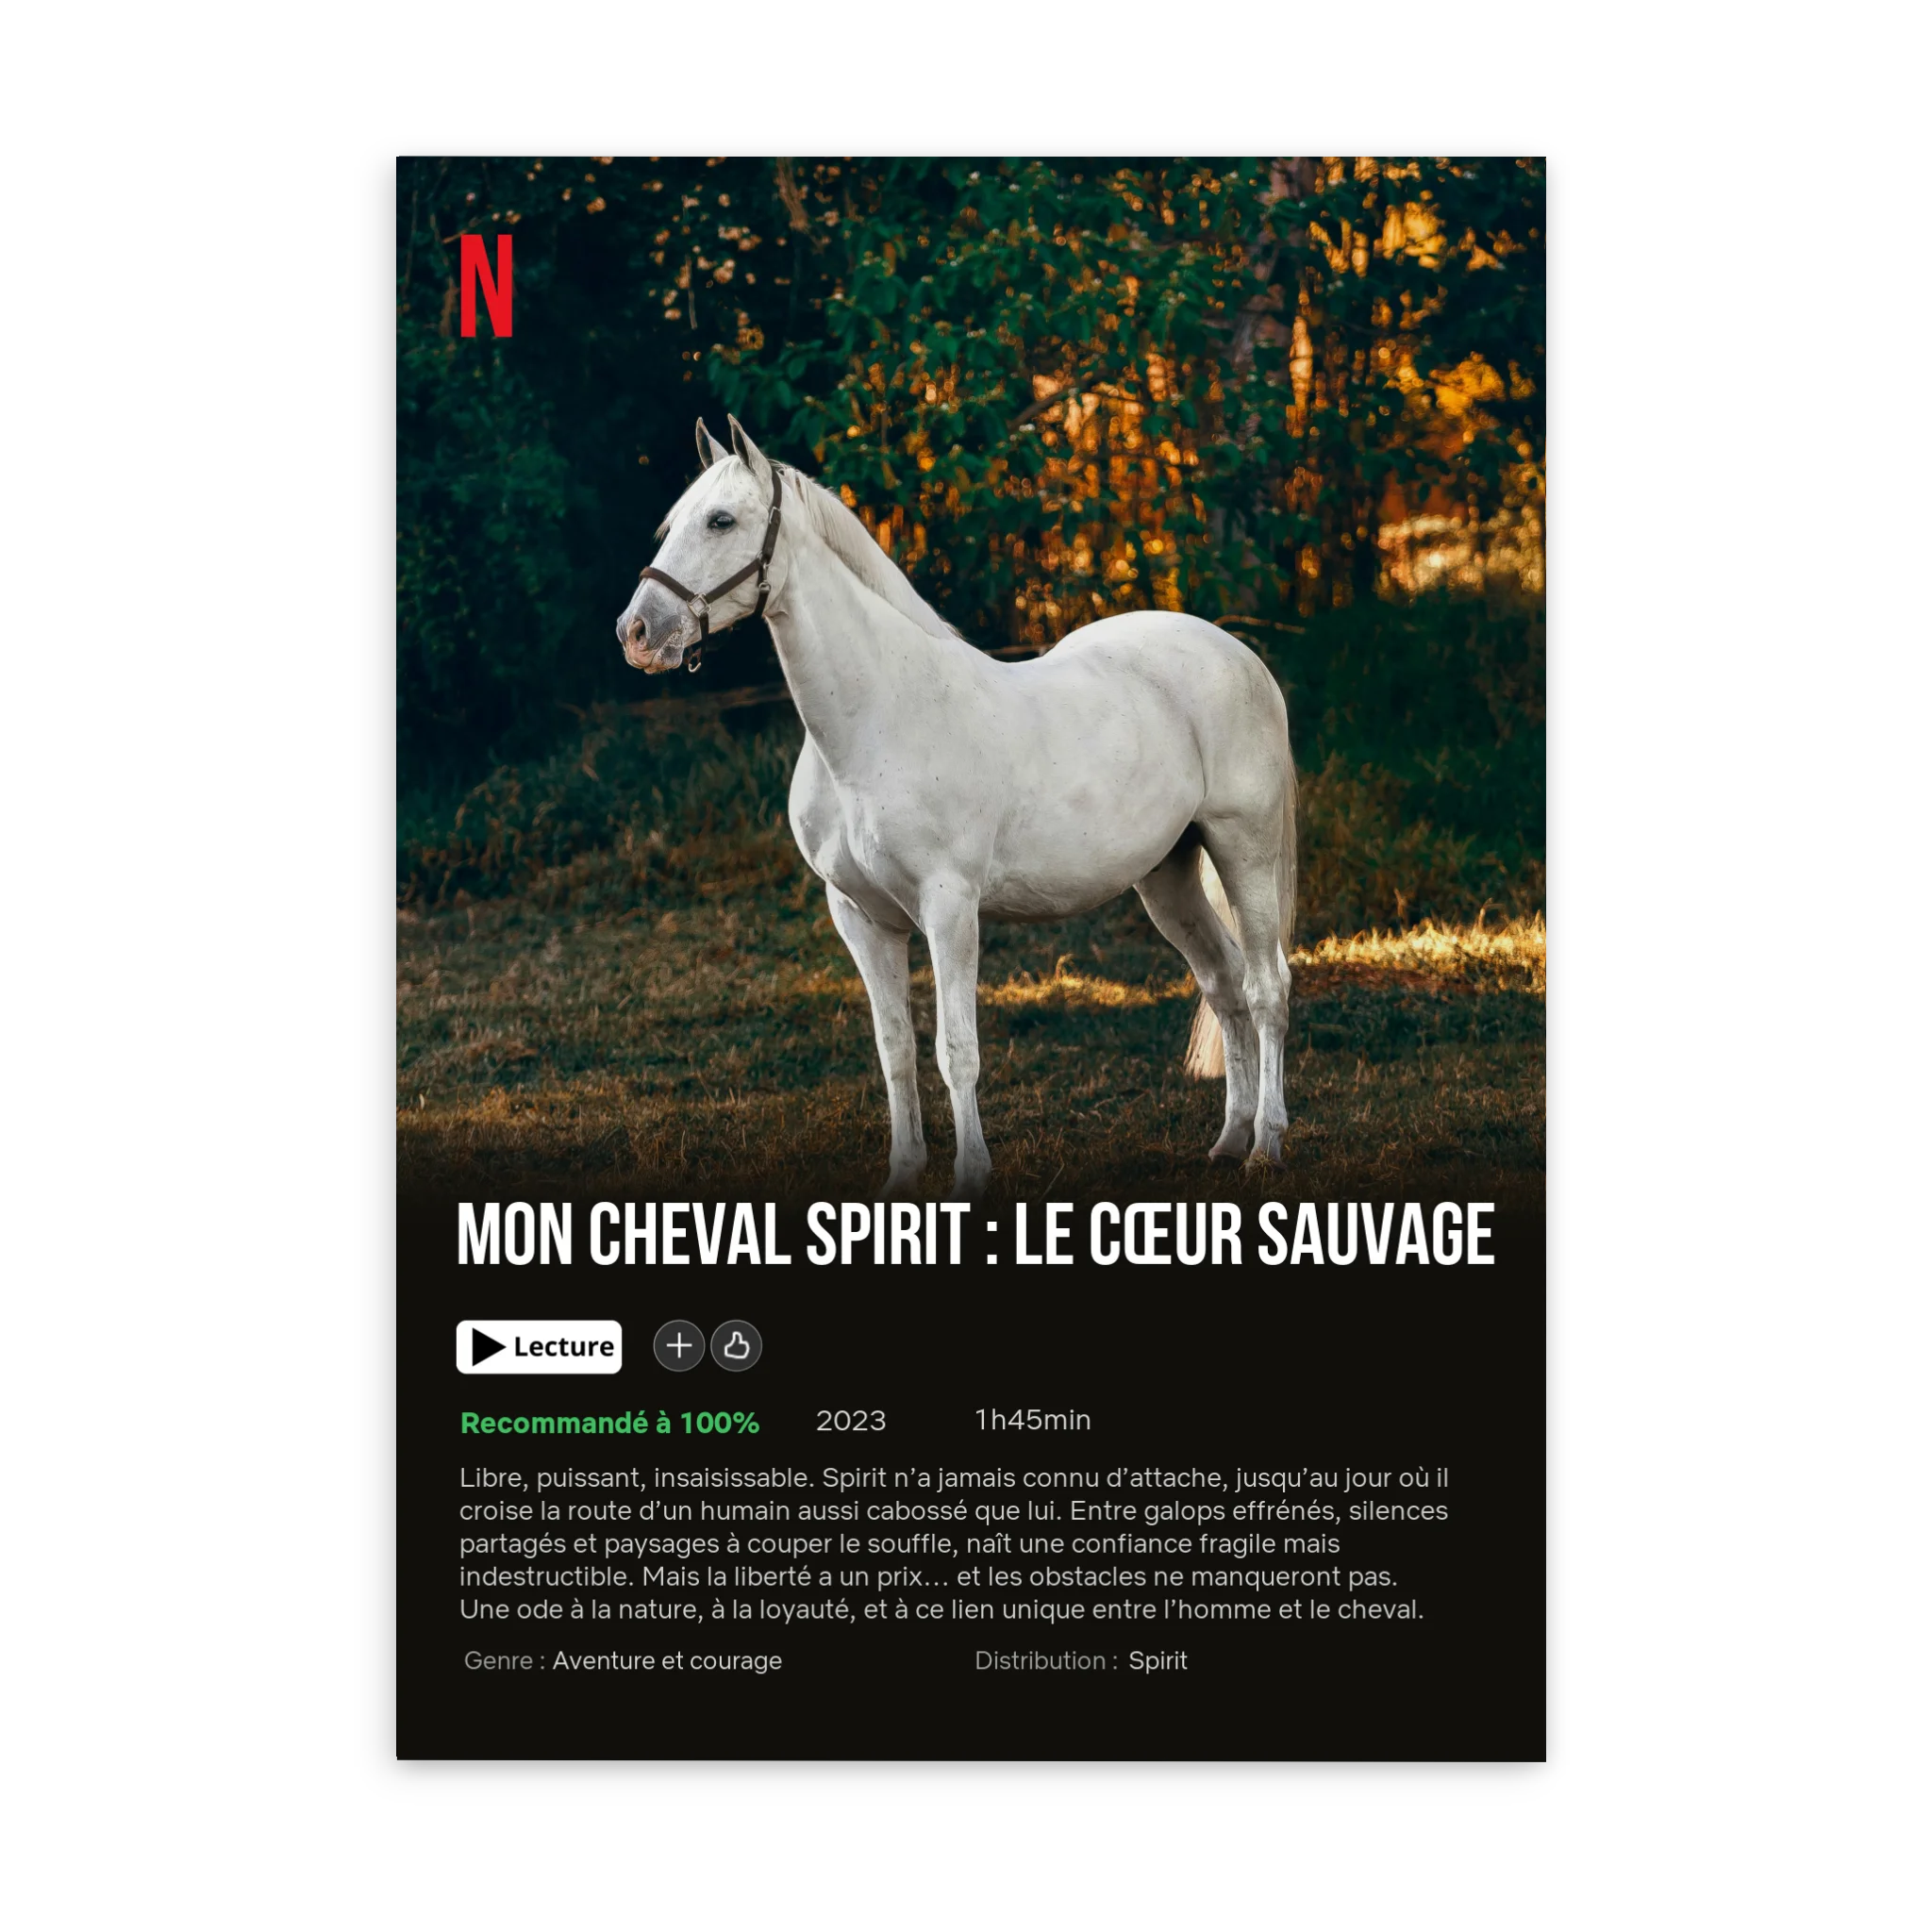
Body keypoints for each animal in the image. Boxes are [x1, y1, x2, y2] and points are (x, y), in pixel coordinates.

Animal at [616, 416, 1297, 1200]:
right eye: (671, 524)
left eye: (721, 520)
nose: (636, 633)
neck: (876, 719)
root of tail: (1240, 656)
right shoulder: (860, 917)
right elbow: (894, 1050)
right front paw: (902, 1175)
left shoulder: (948, 907)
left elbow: (956, 1050)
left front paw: (970, 1178)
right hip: (1168, 876)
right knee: (1223, 985)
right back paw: (1227, 1140)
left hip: (1243, 852)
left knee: (1267, 986)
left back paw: (1265, 1145)